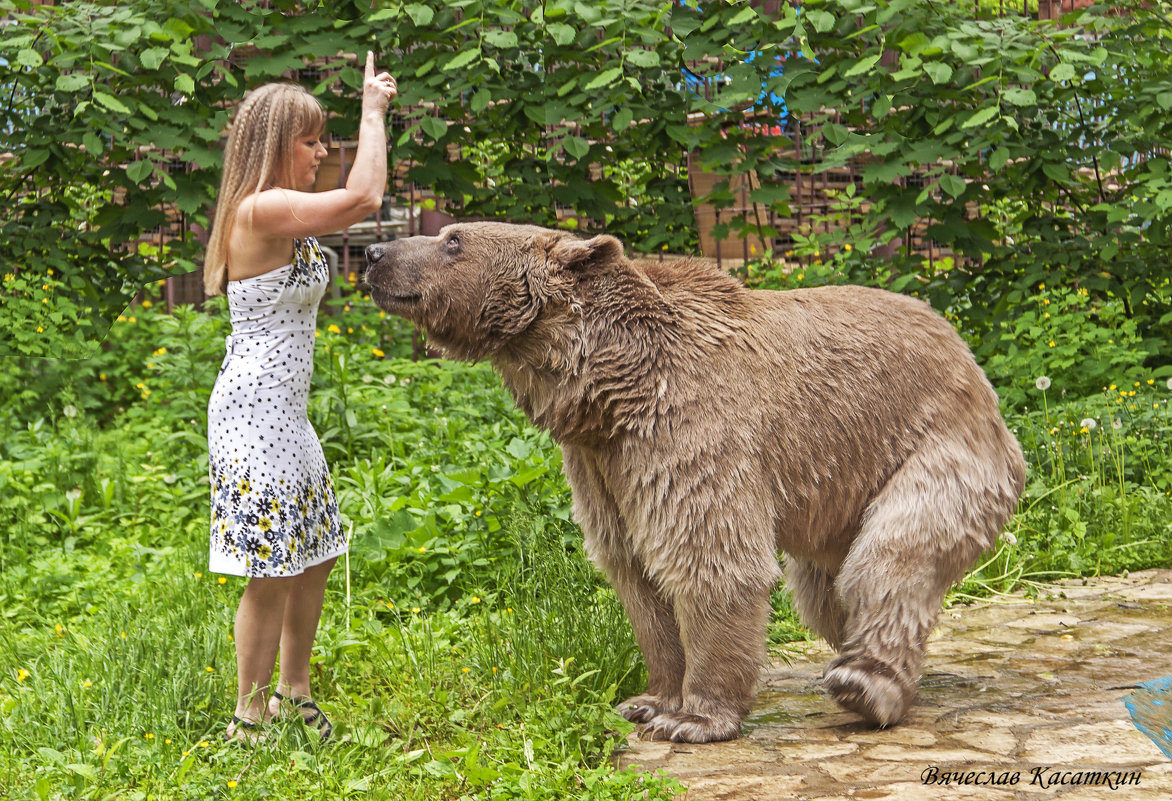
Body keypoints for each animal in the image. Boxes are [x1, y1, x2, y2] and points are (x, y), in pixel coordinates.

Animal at [365, 220, 1026, 745]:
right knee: (825, 596)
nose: (374, 253)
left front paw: (694, 717)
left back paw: (867, 683)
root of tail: (963, 351)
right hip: (839, 493)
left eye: (454, 240)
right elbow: (636, 573)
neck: (606, 390)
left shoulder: (689, 429)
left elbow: (710, 557)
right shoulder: (602, 467)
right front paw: (648, 699)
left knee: (889, 558)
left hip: (935, 449)